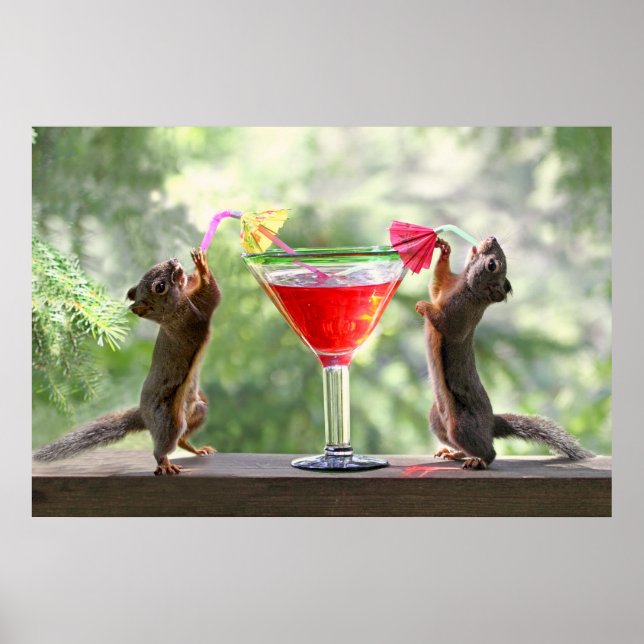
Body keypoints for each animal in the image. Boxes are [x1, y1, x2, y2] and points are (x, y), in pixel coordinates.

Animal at [33, 247, 221, 475]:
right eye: (160, 287)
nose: (174, 261)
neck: (170, 312)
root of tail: (145, 416)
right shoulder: (190, 318)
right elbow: (211, 295)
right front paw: (201, 266)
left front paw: (194, 271)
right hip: (170, 421)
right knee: (162, 448)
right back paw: (165, 464)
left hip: (197, 409)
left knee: (182, 439)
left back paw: (196, 449)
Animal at [415, 235, 593, 469]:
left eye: (492, 265)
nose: (492, 238)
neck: (465, 287)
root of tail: (491, 423)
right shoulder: (444, 288)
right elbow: (435, 285)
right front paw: (444, 250)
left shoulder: (459, 316)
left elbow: (443, 322)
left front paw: (423, 306)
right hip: (437, 419)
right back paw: (454, 453)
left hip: (461, 427)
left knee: (490, 452)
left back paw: (478, 461)